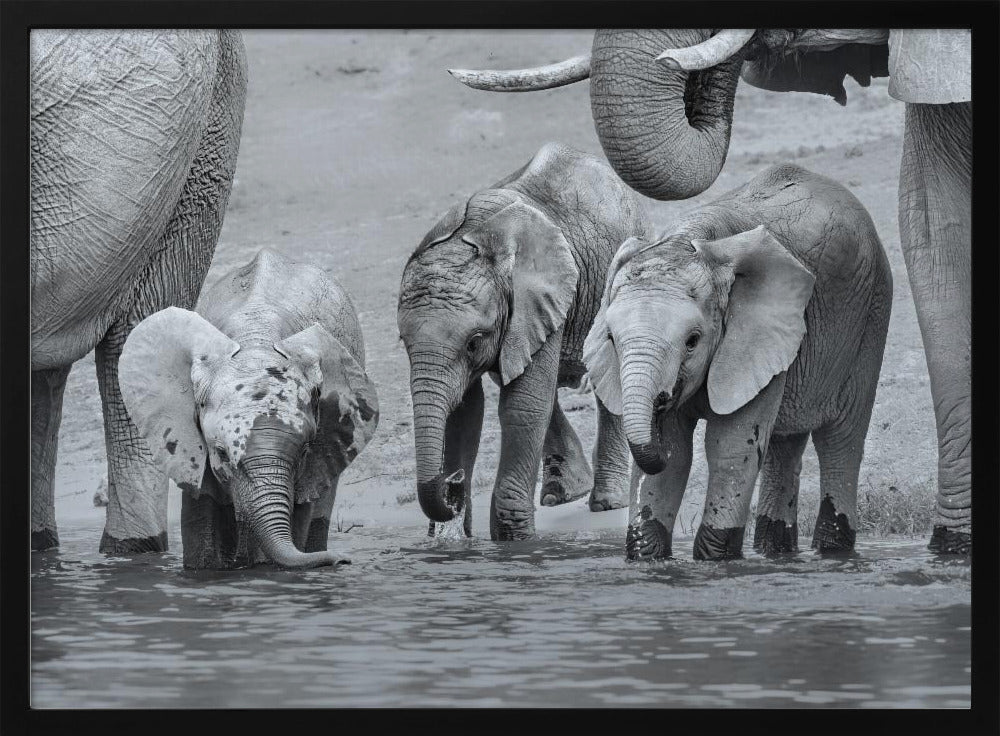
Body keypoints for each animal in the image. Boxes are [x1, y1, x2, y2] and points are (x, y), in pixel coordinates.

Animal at [397, 142, 650, 540]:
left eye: (474, 342)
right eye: (403, 342)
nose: (453, 483)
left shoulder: (538, 298)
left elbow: (521, 406)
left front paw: (514, 540)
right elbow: (465, 411)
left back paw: (607, 502)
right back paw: (563, 493)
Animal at [583, 163, 892, 560]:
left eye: (692, 342)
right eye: (610, 339)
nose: (661, 402)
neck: (690, 242)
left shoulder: (755, 333)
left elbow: (729, 446)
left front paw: (716, 560)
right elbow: (676, 455)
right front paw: (649, 558)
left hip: (871, 312)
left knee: (840, 440)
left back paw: (832, 553)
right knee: (784, 444)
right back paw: (775, 554)